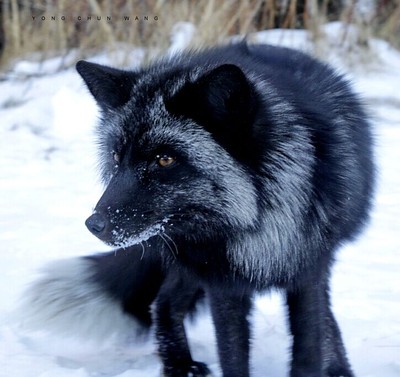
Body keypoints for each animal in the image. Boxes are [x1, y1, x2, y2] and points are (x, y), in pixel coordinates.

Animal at [25, 42, 376, 374]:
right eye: (116, 157)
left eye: (165, 159)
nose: (94, 224)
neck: (257, 226)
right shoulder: (222, 284)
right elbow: (233, 357)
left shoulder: (307, 274)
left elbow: (308, 350)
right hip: (189, 266)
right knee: (163, 303)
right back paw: (179, 367)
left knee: (327, 319)